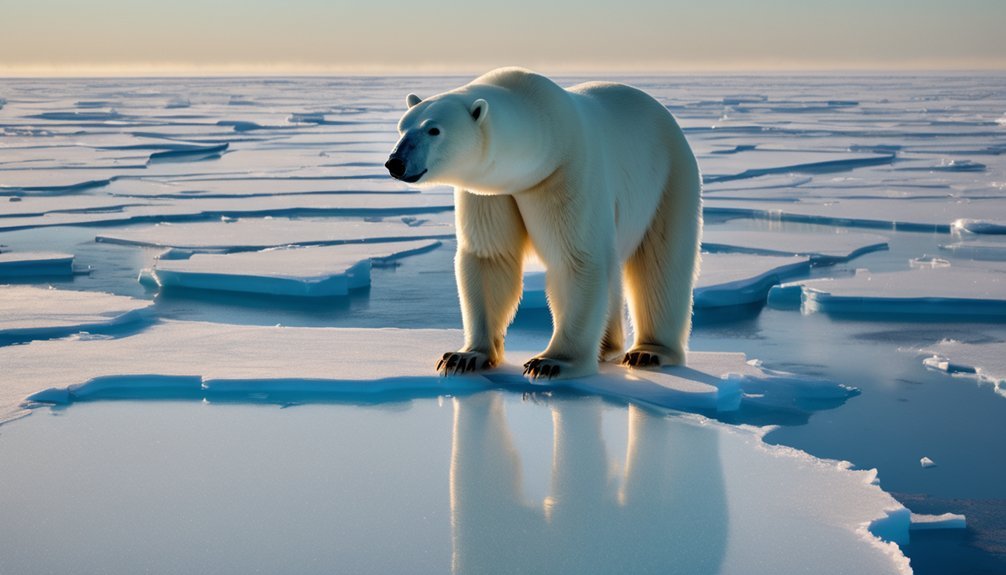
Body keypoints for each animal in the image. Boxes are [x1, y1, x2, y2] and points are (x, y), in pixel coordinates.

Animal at [386, 67, 702, 380]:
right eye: (402, 127)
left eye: (434, 130)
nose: (395, 162)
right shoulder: (491, 191)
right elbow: (490, 256)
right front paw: (463, 356)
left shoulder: (565, 174)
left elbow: (576, 258)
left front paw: (551, 362)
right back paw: (606, 346)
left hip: (670, 177)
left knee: (661, 263)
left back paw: (648, 352)